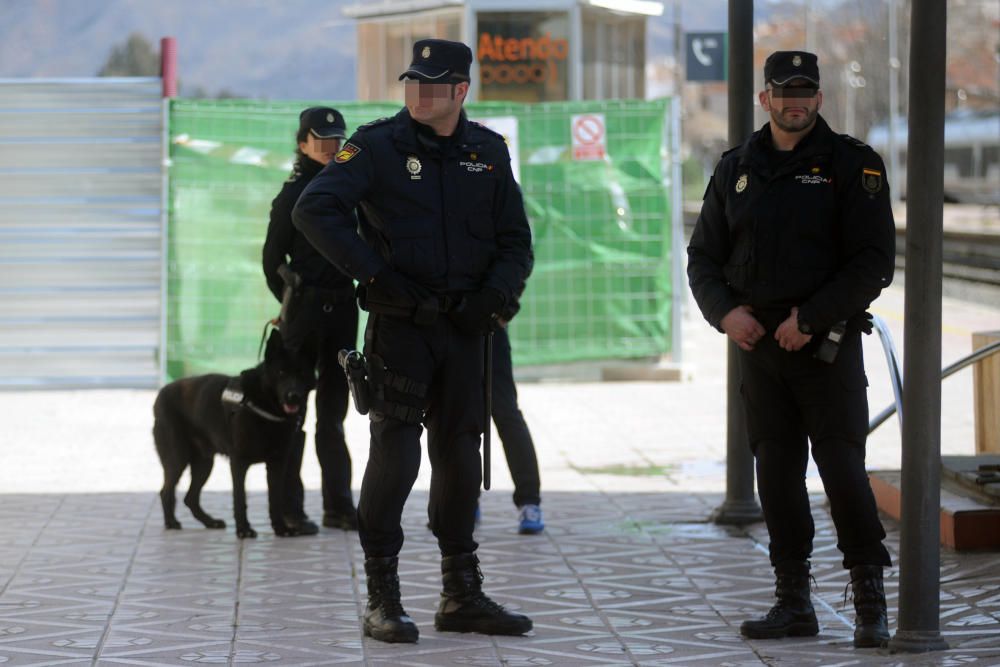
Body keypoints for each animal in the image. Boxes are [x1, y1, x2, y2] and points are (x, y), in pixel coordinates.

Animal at [152, 328, 314, 536]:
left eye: (302, 373)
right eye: (281, 372)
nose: (293, 396)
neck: (264, 405)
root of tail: (160, 394)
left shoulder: (277, 464)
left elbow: (275, 499)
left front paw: (280, 528)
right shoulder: (239, 463)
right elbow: (240, 498)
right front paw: (244, 530)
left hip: (204, 463)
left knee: (190, 497)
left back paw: (210, 522)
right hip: (177, 459)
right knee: (166, 491)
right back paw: (171, 522)